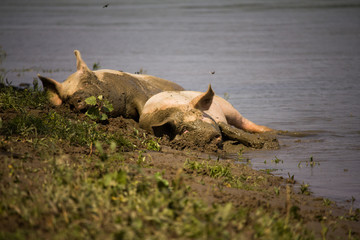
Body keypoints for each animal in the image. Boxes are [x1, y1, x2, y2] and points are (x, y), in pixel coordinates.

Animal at [139, 84, 278, 148]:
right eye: (184, 129)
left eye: (201, 116)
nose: (211, 135)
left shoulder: (217, 120)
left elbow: (229, 129)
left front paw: (260, 144)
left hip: (228, 107)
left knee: (244, 122)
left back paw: (273, 132)